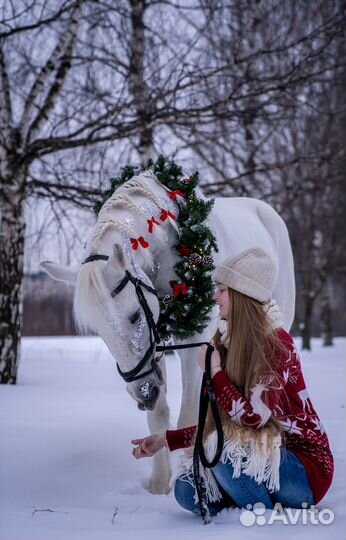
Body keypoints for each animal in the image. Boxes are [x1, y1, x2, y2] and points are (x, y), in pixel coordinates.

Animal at [40, 171, 294, 496]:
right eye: (99, 332)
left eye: (134, 316)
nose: (143, 394)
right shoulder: (155, 348)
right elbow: (159, 416)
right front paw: (160, 485)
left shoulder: (194, 343)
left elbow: (188, 415)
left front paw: (189, 477)